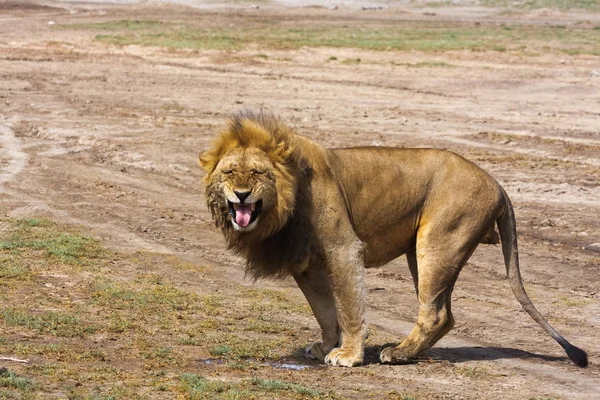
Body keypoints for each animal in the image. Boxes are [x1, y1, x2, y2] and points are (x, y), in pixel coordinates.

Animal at [199, 111, 588, 368]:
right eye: (229, 172)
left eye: (258, 173)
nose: (242, 195)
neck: (284, 203)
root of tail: (498, 183)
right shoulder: (307, 265)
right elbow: (324, 310)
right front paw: (326, 345)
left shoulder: (343, 248)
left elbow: (349, 306)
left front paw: (349, 355)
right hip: (424, 251)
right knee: (445, 314)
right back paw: (409, 352)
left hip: (438, 242)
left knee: (435, 313)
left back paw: (398, 353)